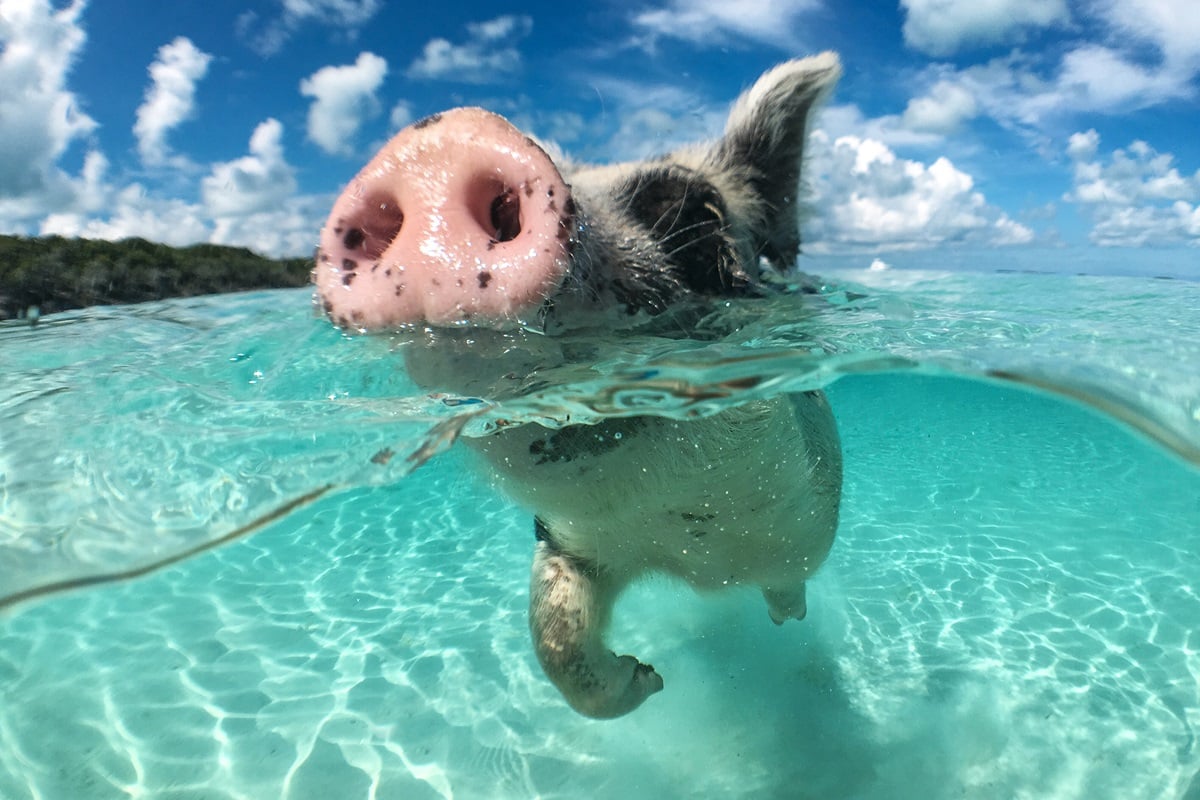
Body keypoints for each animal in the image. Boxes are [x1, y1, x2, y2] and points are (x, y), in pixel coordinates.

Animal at [314, 56, 849, 719]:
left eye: (696, 214)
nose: (438, 145)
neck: (690, 549)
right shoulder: (568, 543)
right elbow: (554, 637)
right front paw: (649, 678)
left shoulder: (802, 524)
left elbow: (788, 581)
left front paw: (748, 634)